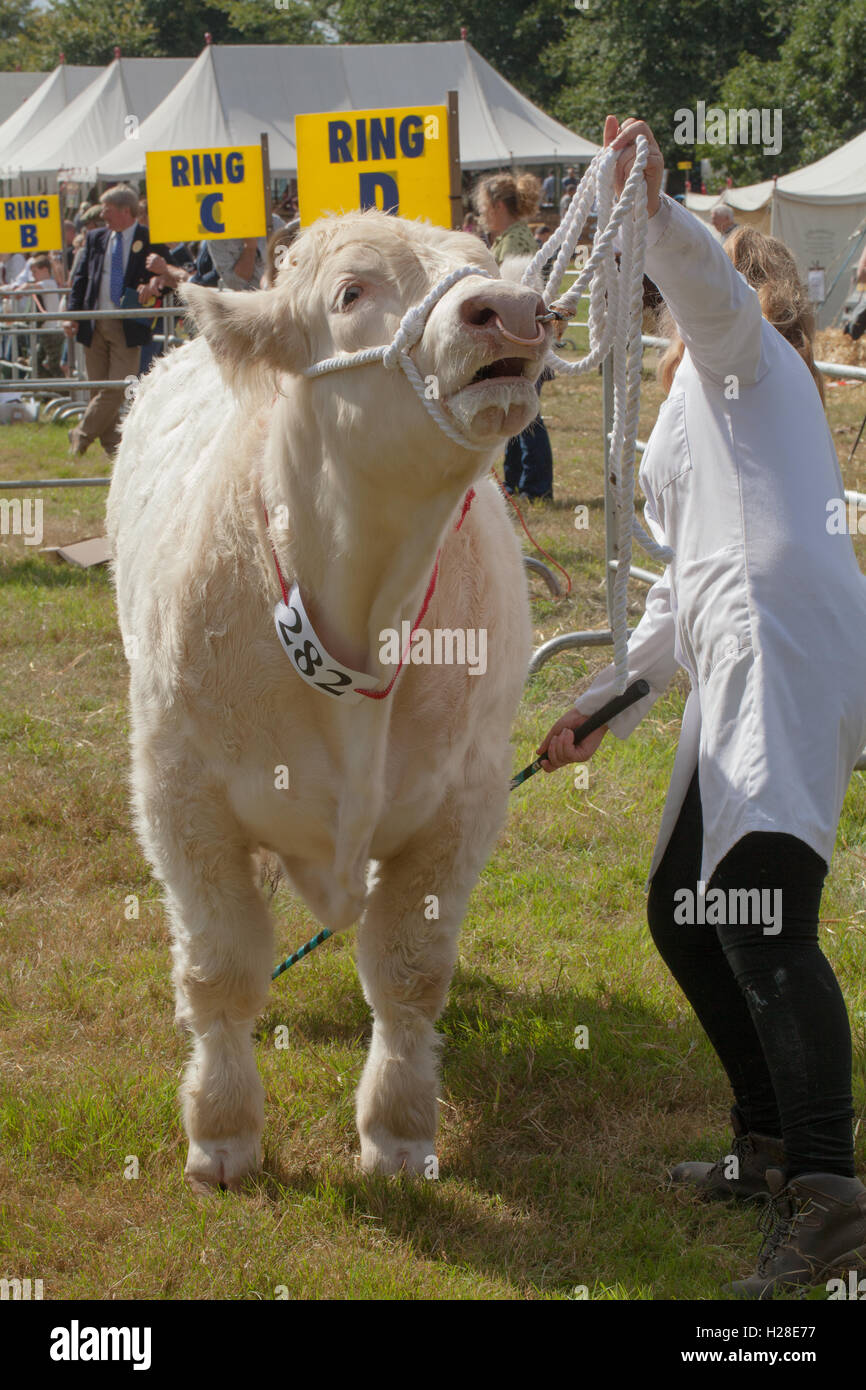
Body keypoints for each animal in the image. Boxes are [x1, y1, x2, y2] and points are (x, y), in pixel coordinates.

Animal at [104, 211, 553, 1189]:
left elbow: (410, 973)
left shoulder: (464, 799)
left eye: (487, 263)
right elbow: (221, 968)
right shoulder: (180, 795)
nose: (510, 311)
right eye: (351, 292)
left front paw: (399, 1132)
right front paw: (222, 1132)